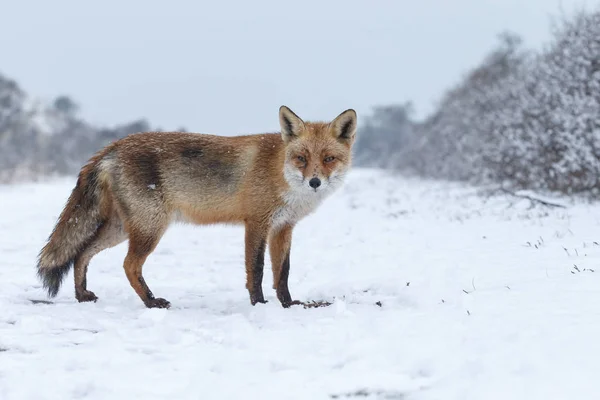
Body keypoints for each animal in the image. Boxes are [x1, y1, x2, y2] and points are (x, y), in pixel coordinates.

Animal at [36, 106, 356, 310]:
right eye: (301, 158)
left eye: (328, 159)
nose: (314, 182)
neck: (280, 172)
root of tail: (112, 146)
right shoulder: (256, 223)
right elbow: (257, 270)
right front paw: (259, 304)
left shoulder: (283, 227)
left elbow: (283, 273)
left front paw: (289, 304)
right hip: (150, 227)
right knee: (128, 265)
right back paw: (151, 302)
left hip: (122, 228)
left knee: (82, 254)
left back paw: (82, 295)